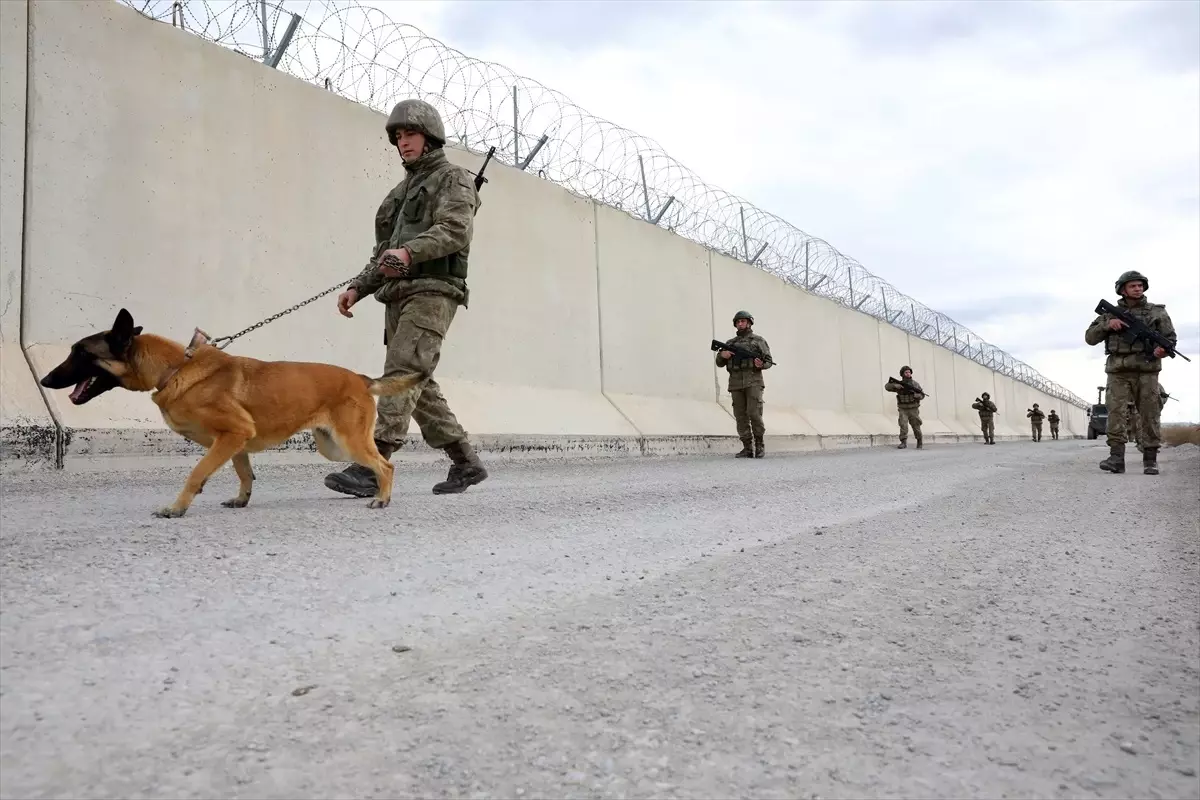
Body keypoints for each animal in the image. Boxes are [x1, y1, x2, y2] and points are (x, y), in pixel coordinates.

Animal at [41, 307, 427, 520]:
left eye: (81, 353)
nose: (44, 380)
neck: (175, 369)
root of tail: (361, 378)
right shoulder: (236, 442)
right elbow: (244, 474)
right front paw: (242, 500)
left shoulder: (231, 434)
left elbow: (196, 473)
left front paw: (176, 508)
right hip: (333, 447)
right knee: (379, 462)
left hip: (347, 442)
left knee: (385, 465)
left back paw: (382, 498)